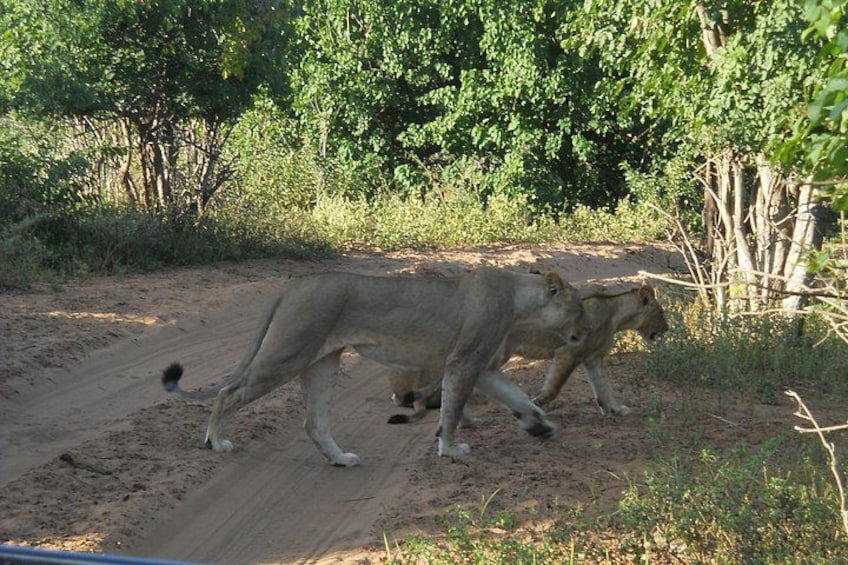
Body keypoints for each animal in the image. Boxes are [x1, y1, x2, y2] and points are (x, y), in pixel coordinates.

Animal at [161, 268, 591, 466]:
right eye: (580, 308)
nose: (587, 331)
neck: (520, 302)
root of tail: (293, 284)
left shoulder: (481, 366)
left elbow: (516, 396)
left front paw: (541, 426)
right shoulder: (465, 361)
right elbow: (452, 410)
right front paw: (451, 450)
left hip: (322, 364)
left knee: (314, 422)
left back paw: (340, 459)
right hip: (286, 353)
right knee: (227, 392)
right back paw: (216, 441)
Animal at [387, 284, 668, 423]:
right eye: (662, 313)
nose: (668, 328)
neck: (615, 314)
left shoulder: (593, 359)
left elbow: (604, 388)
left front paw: (614, 410)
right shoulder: (568, 353)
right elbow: (553, 388)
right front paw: (536, 404)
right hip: (497, 351)